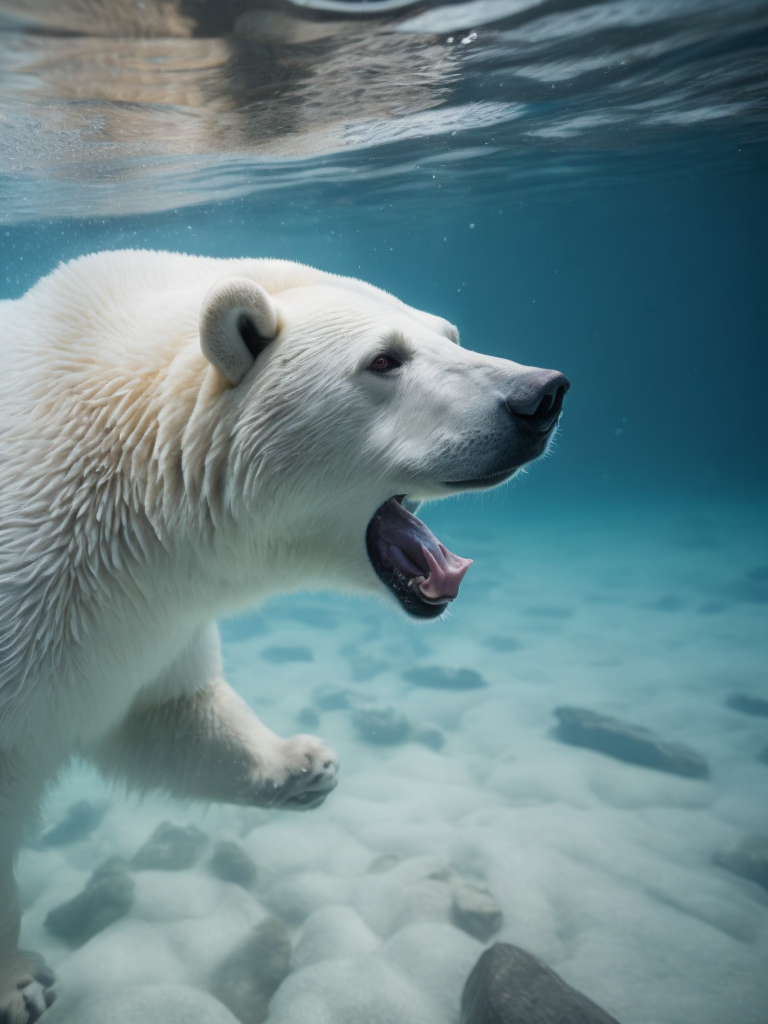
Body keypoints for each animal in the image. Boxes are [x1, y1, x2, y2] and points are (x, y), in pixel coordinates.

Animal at [1, 249, 573, 1024]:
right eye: (385, 358)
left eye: (450, 333)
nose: (540, 395)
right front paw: (19, 980)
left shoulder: (150, 612)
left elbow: (162, 710)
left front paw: (302, 763)